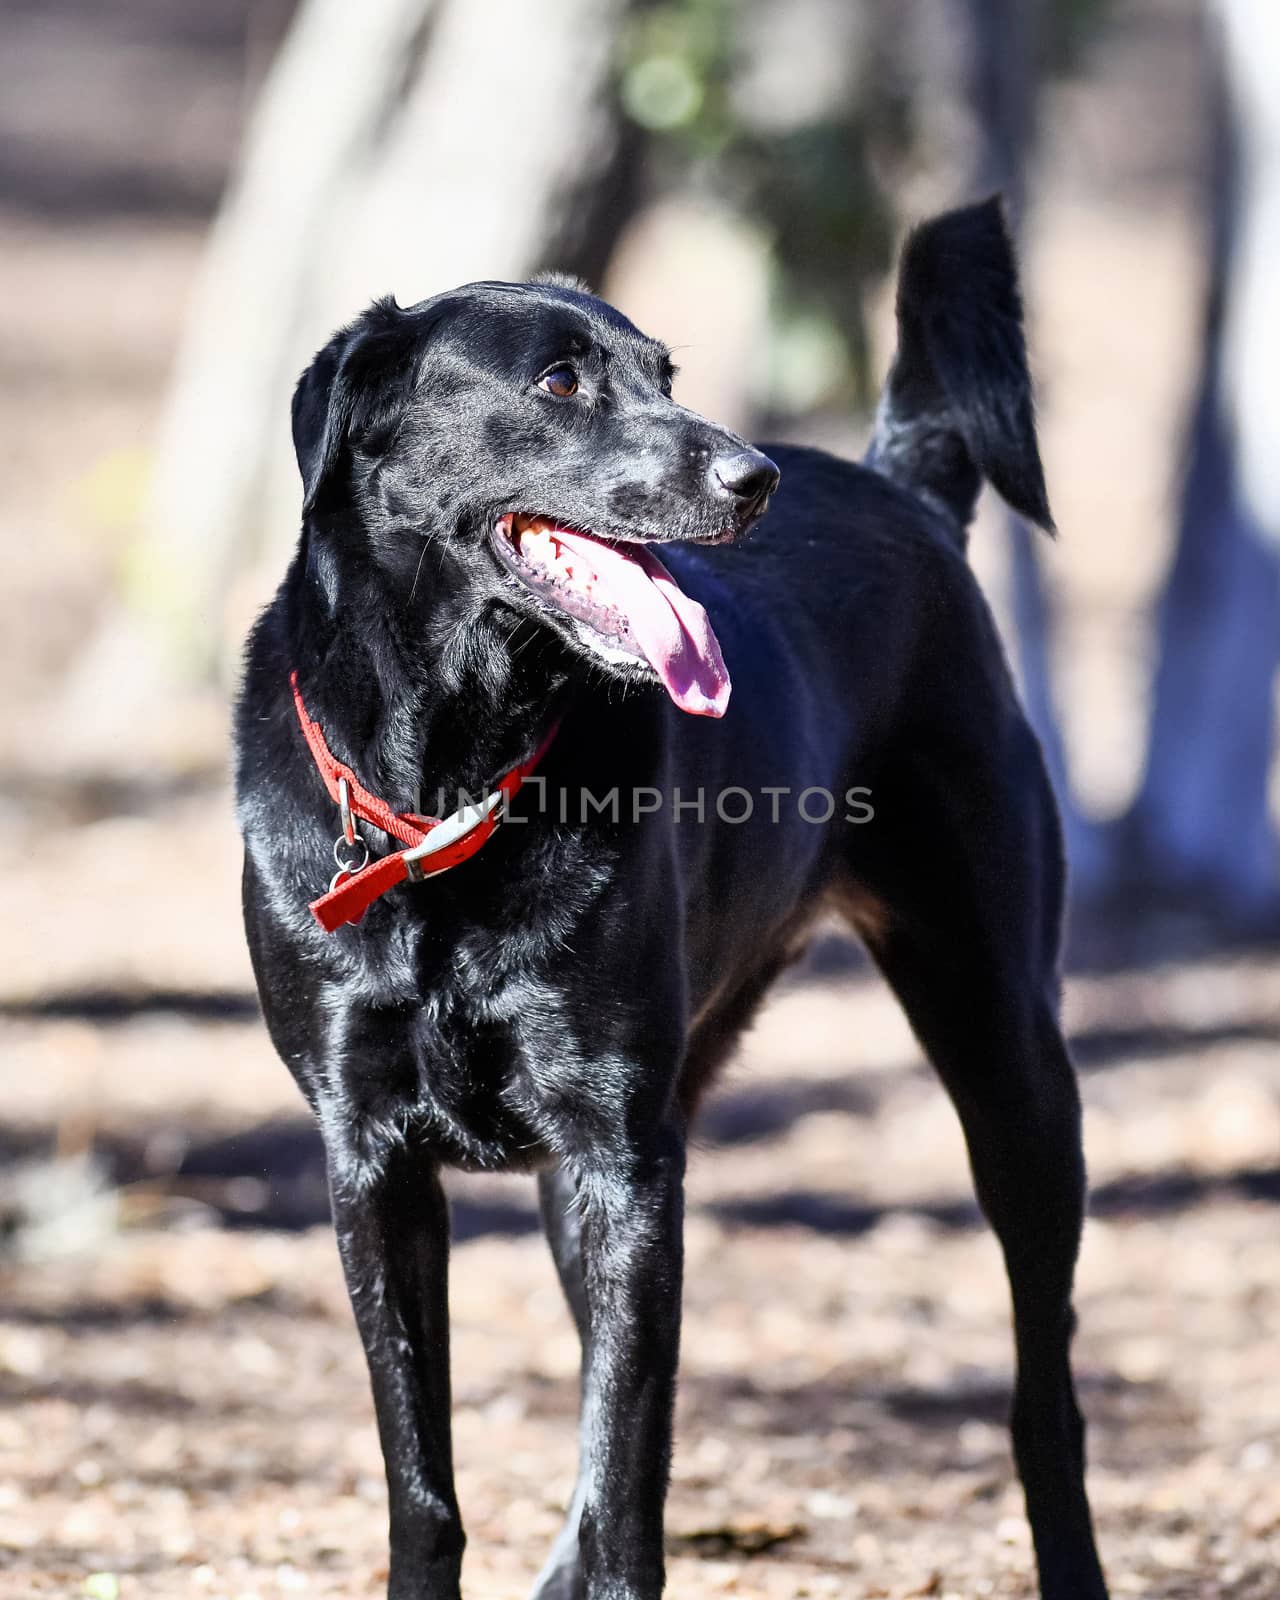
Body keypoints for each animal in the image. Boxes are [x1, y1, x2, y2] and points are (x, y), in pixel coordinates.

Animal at [235, 200, 1107, 1600]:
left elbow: (627, 1475)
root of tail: (900, 490)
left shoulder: (623, 1161)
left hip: (1006, 1057)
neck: (450, 782)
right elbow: (426, 1478)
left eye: (665, 375)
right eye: (557, 381)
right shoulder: (371, 1162)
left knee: (1044, 1397)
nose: (751, 479)